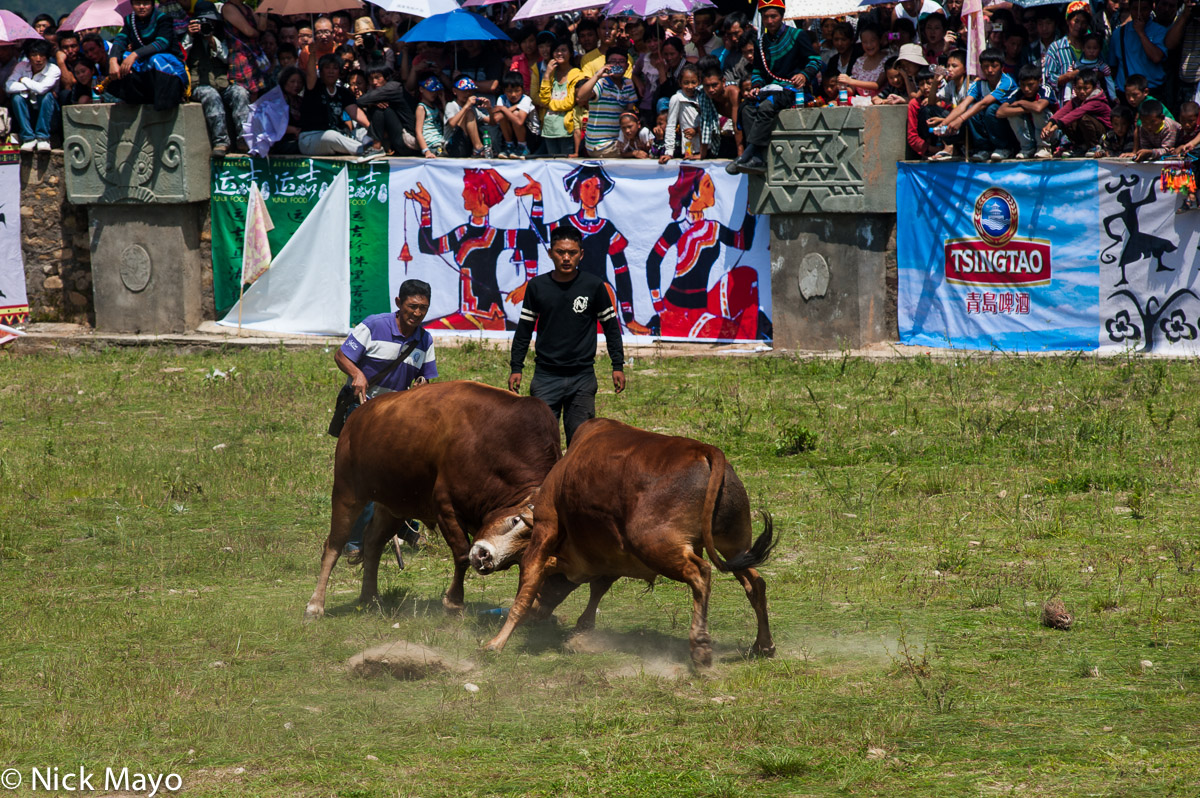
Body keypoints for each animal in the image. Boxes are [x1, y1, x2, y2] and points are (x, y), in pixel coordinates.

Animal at [302, 379, 559, 614]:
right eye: (515, 520)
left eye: (521, 554)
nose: (485, 558)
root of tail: (358, 414)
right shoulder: (445, 507)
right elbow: (462, 554)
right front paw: (454, 602)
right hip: (347, 491)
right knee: (333, 545)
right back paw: (316, 605)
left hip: (394, 505)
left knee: (373, 544)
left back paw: (370, 598)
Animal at [470, 417, 777, 667]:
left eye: (513, 521)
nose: (479, 554)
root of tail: (705, 451)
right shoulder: (603, 559)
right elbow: (595, 588)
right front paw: (580, 629)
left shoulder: (544, 532)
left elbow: (525, 593)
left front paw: (496, 643)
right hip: (734, 546)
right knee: (755, 582)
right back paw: (763, 644)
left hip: (656, 545)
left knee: (700, 573)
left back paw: (700, 646)